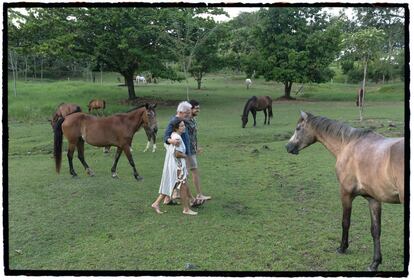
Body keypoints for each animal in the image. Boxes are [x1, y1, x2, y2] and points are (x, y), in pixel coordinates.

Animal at [284, 111, 404, 272]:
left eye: (298, 128)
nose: (288, 146)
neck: (348, 144)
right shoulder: (373, 199)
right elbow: (375, 230)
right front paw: (375, 263)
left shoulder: (345, 193)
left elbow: (345, 222)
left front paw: (342, 248)